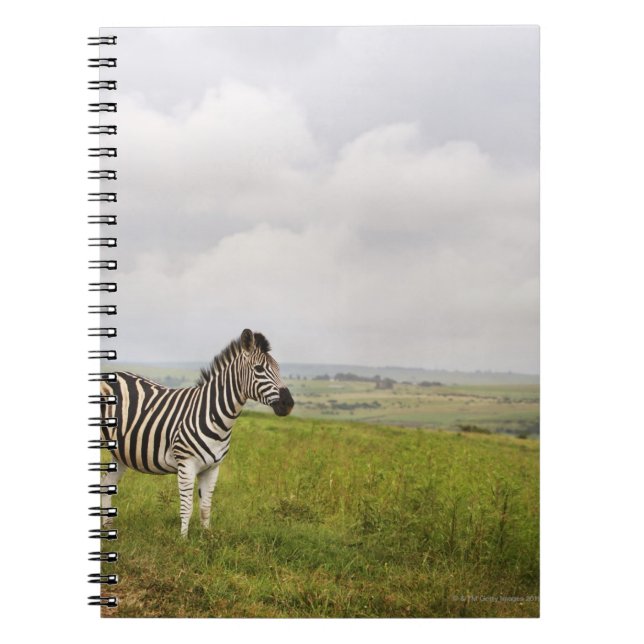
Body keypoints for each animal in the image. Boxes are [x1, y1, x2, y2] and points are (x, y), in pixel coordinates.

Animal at [99, 329, 294, 536]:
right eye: (258, 369)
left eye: (278, 368)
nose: (289, 404)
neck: (213, 415)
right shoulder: (186, 465)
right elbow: (187, 507)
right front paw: (183, 540)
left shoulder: (213, 468)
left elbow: (205, 507)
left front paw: (207, 538)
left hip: (120, 453)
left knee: (106, 483)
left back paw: (107, 527)